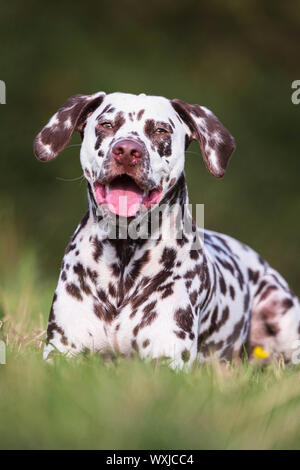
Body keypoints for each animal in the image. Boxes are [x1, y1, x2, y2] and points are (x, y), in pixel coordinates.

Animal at [34, 92, 300, 370]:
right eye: (106, 124)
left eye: (160, 130)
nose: (127, 150)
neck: (124, 257)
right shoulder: (63, 351)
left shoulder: (167, 359)